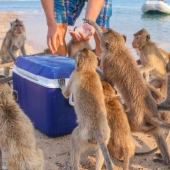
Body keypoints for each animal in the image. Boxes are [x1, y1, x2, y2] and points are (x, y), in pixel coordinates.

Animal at [84, 18, 170, 165]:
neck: (118, 49)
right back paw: (165, 160)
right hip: (149, 125)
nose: (107, 29)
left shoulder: (107, 62)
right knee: (158, 134)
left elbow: (107, 83)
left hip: (136, 122)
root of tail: (150, 114)